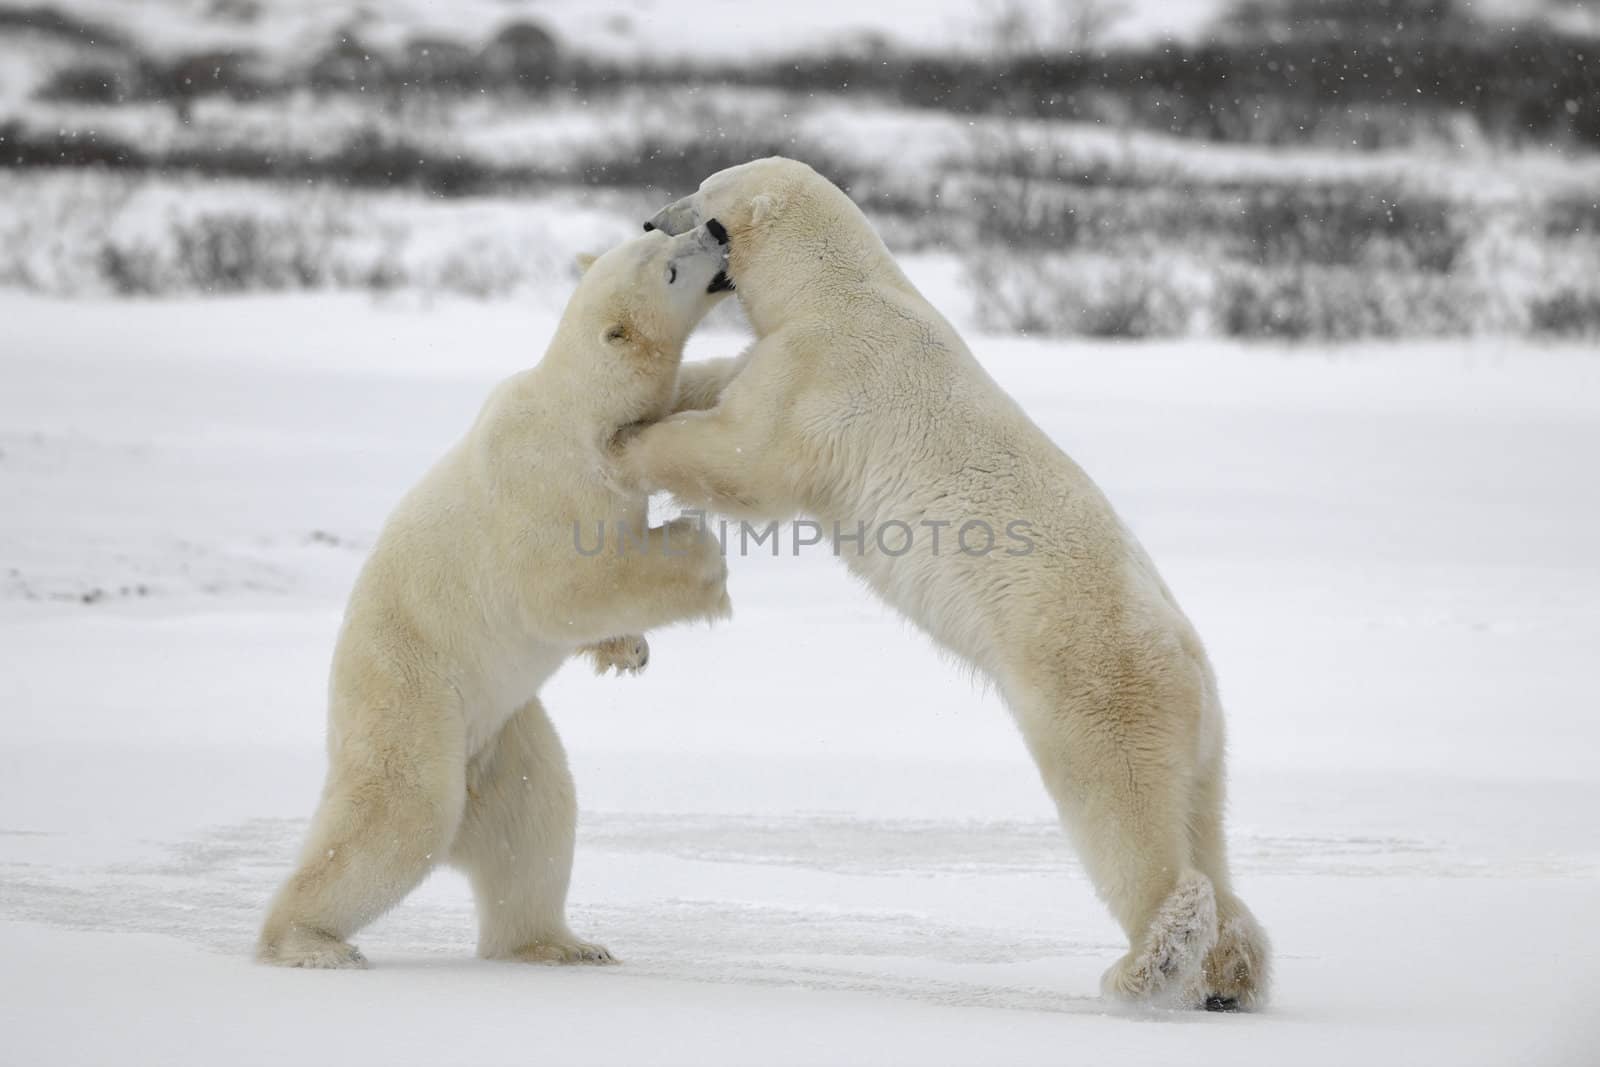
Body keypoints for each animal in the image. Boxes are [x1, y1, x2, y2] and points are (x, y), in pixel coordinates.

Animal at [259, 230, 732, 972]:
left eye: (656, 236)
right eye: (670, 267)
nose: (712, 231)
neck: (582, 409)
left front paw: (629, 649)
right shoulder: (551, 485)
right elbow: (567, 586)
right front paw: (702, 558)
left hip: (503, 736)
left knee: (537, 815)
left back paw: (561, 944)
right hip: (413, 700)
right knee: (400, 818)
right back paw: (309, 942)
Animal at [624, 158, 1273, 1011]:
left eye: (702, 196)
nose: (648, 221)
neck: (840, 286)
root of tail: (1189, 665)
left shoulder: (823, 374)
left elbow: (744, 454)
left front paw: (630, 442)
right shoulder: (788, 349)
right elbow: (720, 382)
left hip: (1097, 692)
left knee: (1127, 820)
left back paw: (1148, 963)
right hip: (1206, 738)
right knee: (1205, 825)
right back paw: (1231, 974)